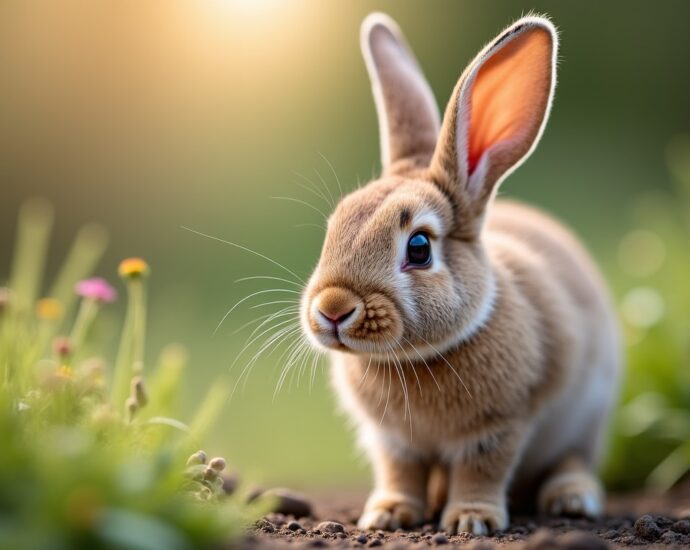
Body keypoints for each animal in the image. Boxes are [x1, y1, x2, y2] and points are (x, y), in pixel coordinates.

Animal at [299, 12, 621, 535]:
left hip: (586, 418)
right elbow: (399, 471)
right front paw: (387, 514)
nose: (331, 310)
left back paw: (571, 499)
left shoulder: (500, 426)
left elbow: (481, 470)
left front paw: (471, 520)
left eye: (419, 248)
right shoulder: (392, 440)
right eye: (335, 226)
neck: (413, 359)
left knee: (574, 459)